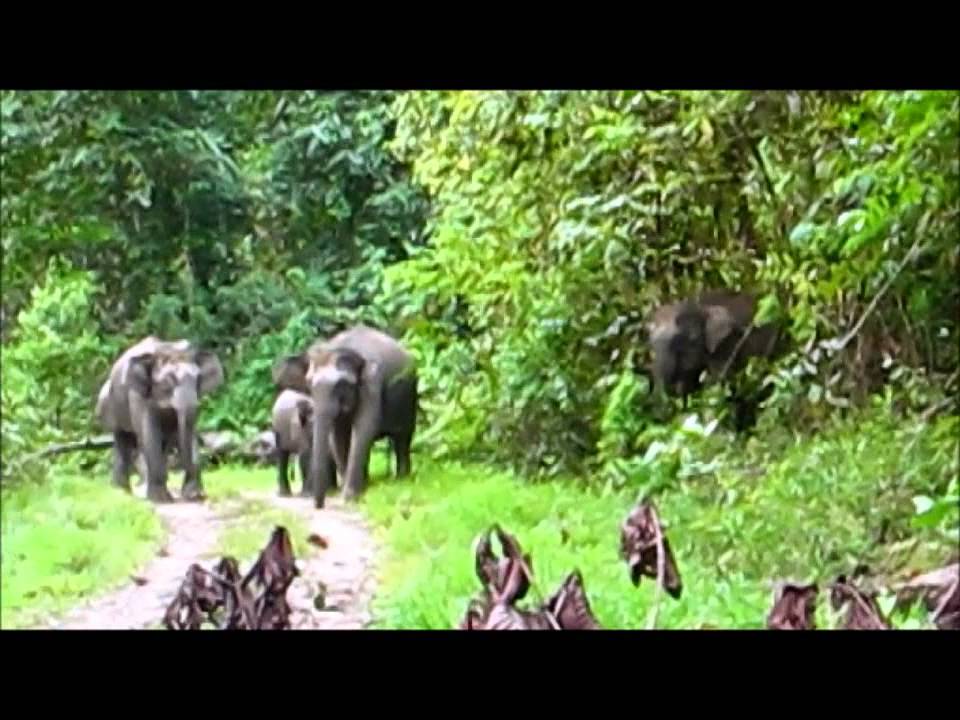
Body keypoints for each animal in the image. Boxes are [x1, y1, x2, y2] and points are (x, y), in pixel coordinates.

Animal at [95, 336, 224, 503]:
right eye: (169, 380)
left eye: (198, 379)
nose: (197, 495)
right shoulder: (138, 395)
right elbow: (150, 436)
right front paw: (161, 499)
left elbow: (184, 433)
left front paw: (194, 496)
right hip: (109, 405)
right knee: (123, 441)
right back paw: (122, 493)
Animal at [272, 324, 418, 509]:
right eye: (309, 383)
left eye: (342, 384)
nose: (319, 506)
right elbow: (338, 437)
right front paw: (351, 494)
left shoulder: (371, 385)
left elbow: (364, 428)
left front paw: (349, 498)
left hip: (409, 396)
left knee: (403, 437)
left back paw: (401, 479)